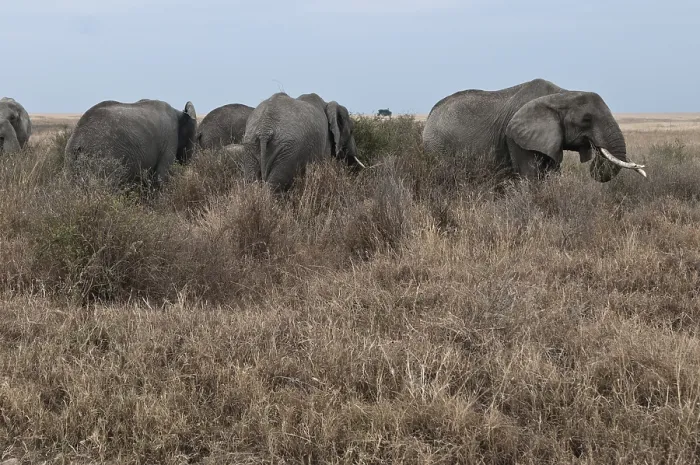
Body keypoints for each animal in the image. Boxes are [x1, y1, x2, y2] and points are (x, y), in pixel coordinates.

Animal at [65, 99, 197, 185]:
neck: (179, 113)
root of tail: (77, 139)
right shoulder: (170, 139)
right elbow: (162, 177)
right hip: (102, 156)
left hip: (71, 158)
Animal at [422, 78, 647, 182]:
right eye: (586, 119)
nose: (596, 150)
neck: (561, 94)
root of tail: (430, 115)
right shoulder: (515, 137)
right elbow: (530, 176)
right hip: (438, 146)